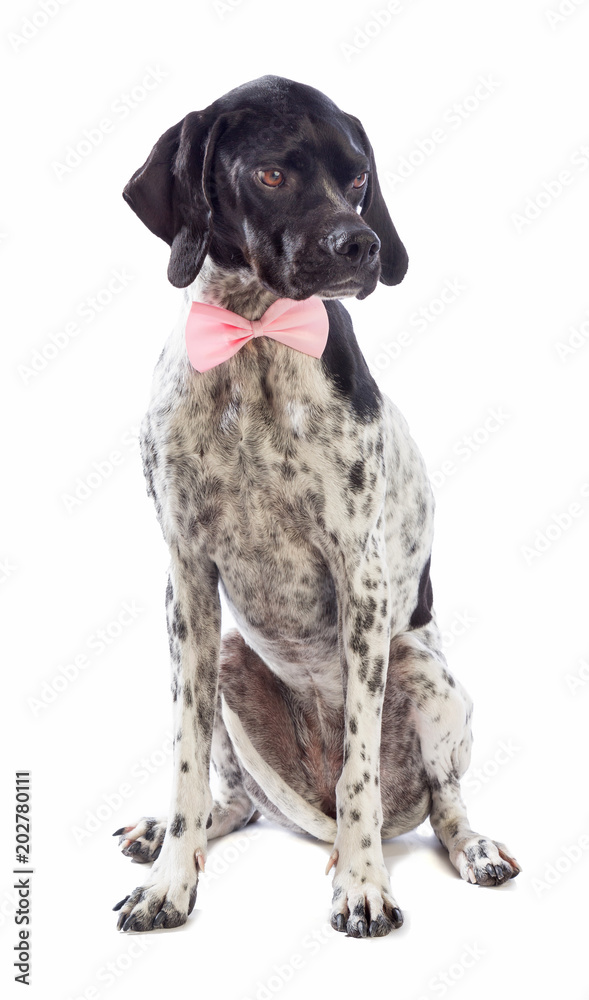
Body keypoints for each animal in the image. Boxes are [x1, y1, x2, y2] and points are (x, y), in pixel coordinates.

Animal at [111, 72, 520, 936]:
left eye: (358, 176)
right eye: (272, 174)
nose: (361, 245)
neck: (255, 339)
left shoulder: (358, 584)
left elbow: (358, 770)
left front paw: (361, 885)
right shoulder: (186, 581)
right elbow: (184, 760)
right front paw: (170, 881)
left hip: (421, 672)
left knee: (442, 803)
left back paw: (473, 848)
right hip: (229, 660)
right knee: (235, 798)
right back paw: (171, 831)